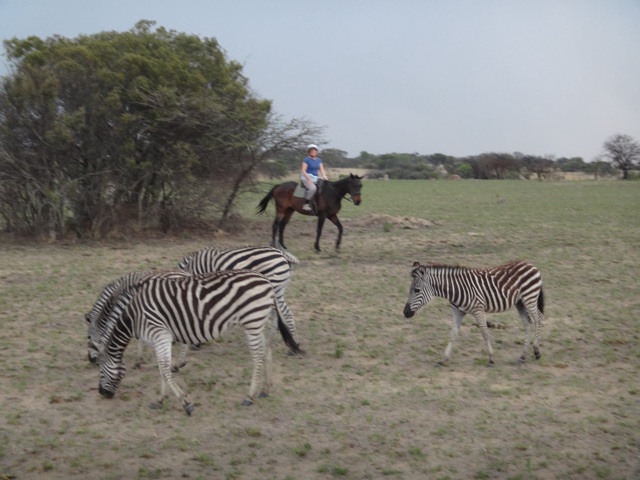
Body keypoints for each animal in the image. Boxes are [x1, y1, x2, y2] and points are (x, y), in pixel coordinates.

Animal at [95, 268, 302, 414]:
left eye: (101, 370)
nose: (102, 394)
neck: (133, 316)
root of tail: (266, 280)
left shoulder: (160, 334)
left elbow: (165, 371)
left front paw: (185, 402)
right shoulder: (156, 339)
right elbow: (162, 370)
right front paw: (160, 399)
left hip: (252, 321)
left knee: (258, 356)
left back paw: (250, 396)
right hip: (256, 322)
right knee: (266, 350)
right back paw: (265, 389)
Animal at [402, 260, 544, 366]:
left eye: (417, 290)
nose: (405, 312)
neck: (455, 290)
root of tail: (530, 264)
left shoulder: (478, 309)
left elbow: (484, 332)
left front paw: (491, 358)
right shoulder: (457, 311)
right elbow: (452, 334)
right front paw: (443, 359)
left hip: (529, 298)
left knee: (538, 319)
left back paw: (536, 351)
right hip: (520, 302)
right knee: (527, 323)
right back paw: (523, 356)